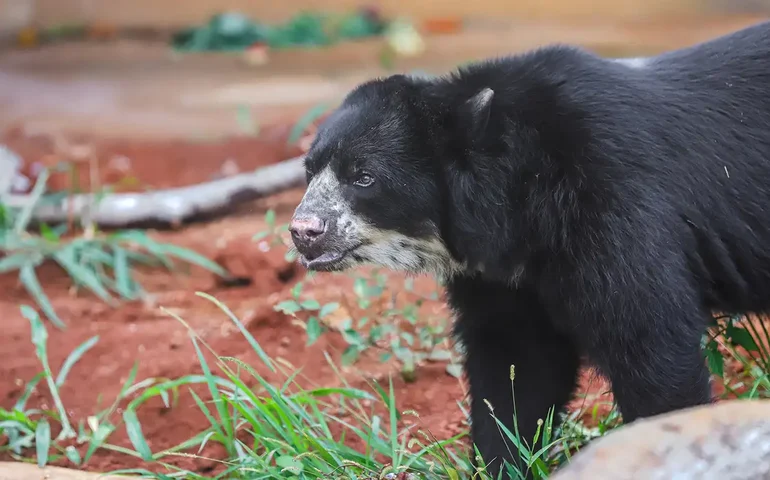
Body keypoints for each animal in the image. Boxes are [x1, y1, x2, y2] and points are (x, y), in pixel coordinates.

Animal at [288, 20, 770, 479]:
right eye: (310, 170)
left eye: (363, 177)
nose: (303, 231)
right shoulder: (502, 277)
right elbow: (516, 368)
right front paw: (502, 463)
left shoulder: (615, 205)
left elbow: (649, 339)